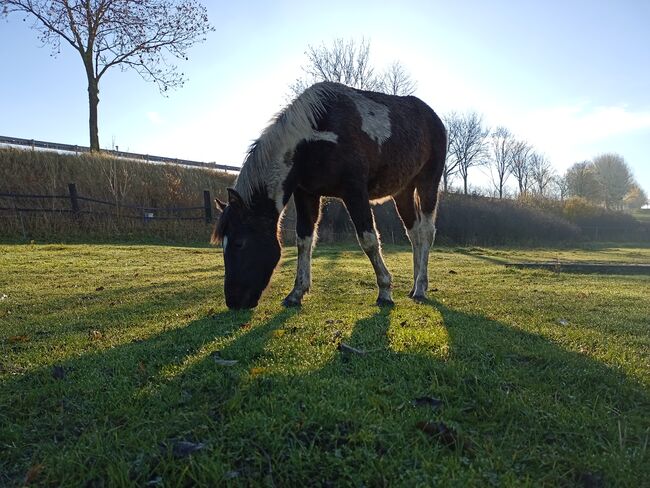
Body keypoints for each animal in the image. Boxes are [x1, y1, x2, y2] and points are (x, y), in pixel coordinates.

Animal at [213, 80, 446, 308]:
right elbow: (304, 240)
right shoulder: (306, 194)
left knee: (426, 232)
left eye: (239, 243)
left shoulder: (355, 192)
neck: (312, 140)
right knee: (414, 234)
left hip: (428, 183)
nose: (233, 301)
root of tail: (433, 117)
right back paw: (414, 285)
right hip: (403, 191)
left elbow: (369, 240)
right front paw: (296, 293)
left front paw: (385, 291)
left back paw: (420, 288)